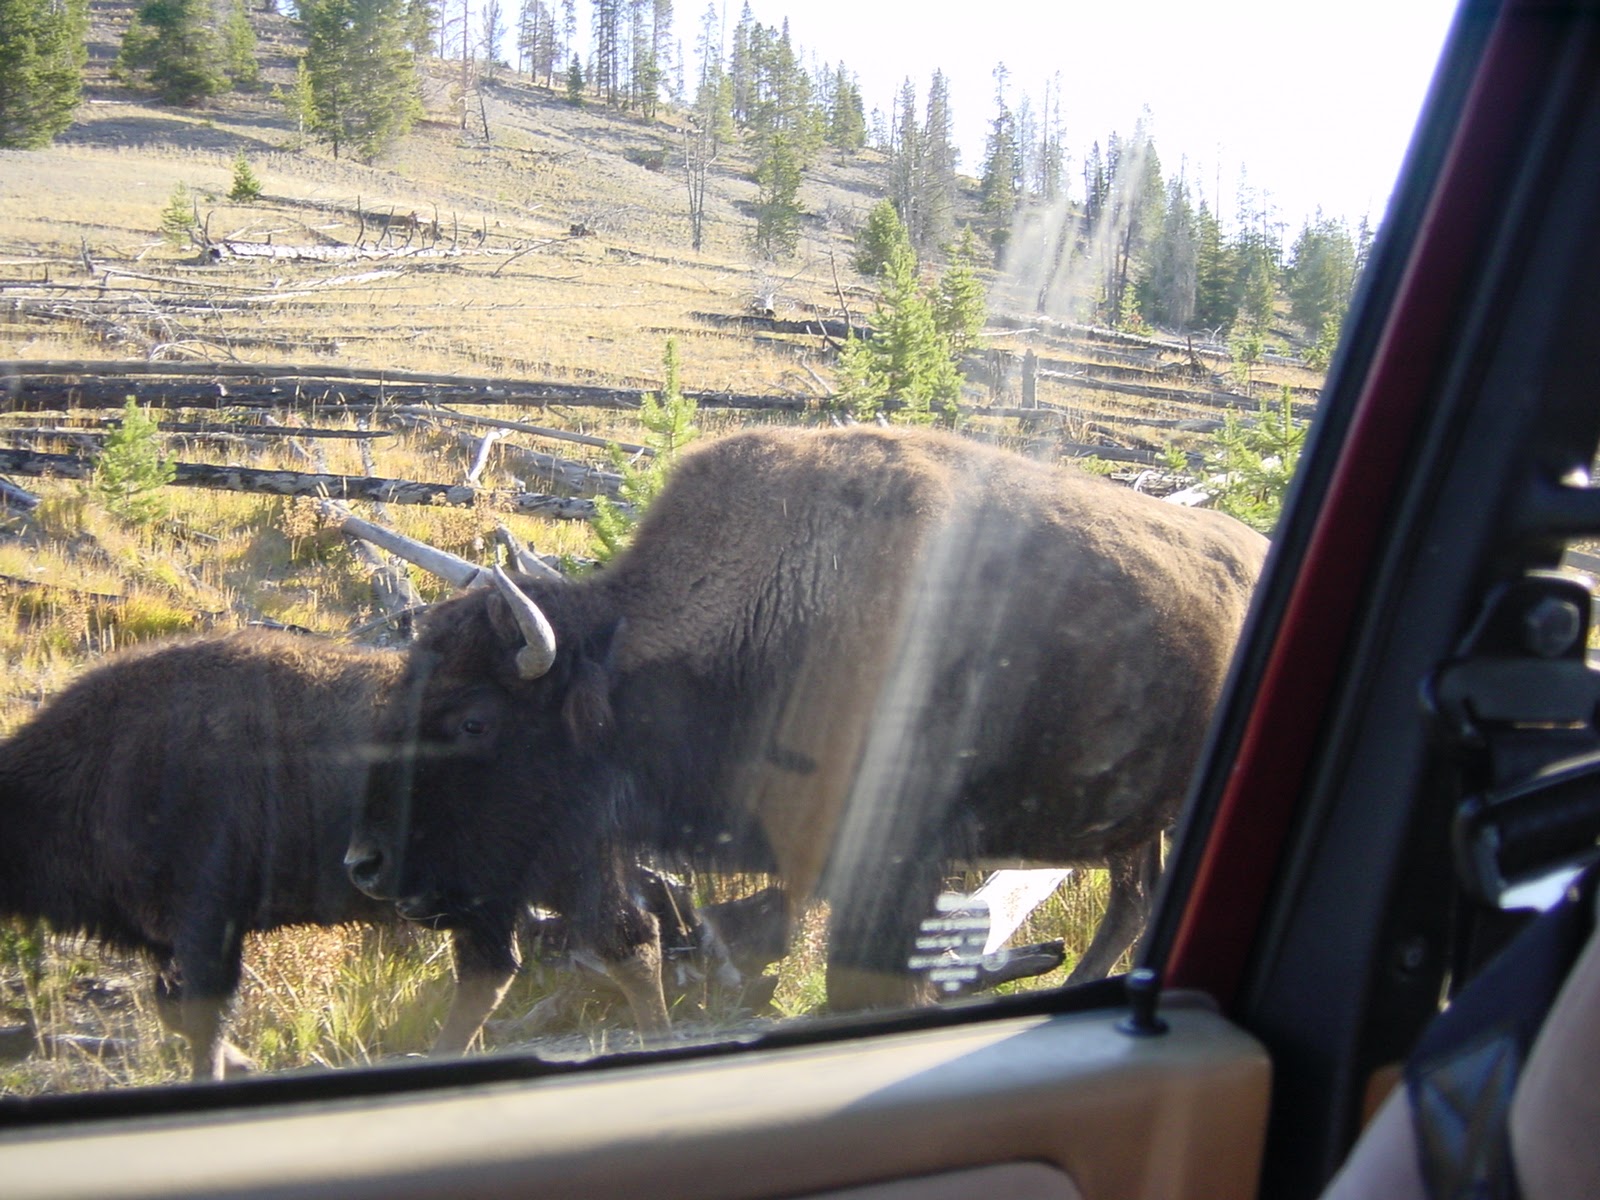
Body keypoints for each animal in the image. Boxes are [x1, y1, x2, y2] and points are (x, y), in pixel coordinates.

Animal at [347, 425, 1268, 1025]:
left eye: (475, 720)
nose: (368, 862)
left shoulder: (895, 863)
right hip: (1135, 821)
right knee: (1134, 901)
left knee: (1133, 901)